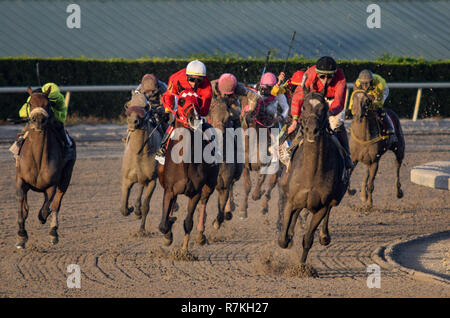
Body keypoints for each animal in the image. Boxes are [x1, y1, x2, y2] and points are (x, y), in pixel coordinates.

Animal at [14, 86, 76, 248]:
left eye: (48, 104)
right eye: (30, 103)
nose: (38, 120)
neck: (37, 157)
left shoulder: (52, 184)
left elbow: (48, 206)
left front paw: (44, 218)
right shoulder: (21, 179)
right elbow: (20, 201)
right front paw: (21, 235)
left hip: (66, 177)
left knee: (56, 203)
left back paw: (53, 232)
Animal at [119, 92, 162, 234]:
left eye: (145, 106)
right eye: (129, 105)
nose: (133, 122)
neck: (139, 153)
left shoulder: (152, 180)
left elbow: (146, 206)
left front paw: (142, 230)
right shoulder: (127, 179)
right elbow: (123, 209)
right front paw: (131, 208)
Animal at [158, 90, 220, 251]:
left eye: (198, 100)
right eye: (181, 100)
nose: (195, 118)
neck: (184, 161)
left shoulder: (195, 192)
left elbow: (188, 223)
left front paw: (184, 251)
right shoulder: (169, 190)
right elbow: (163, 225)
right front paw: (168, 233)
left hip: (210, 185)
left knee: (204, 202)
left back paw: (200, 234)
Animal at [278, 88, 348, 264]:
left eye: (323, 108)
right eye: (303, 107)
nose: (311, 131)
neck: (311, 171)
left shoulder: (322, 207)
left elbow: (308, 239)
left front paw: (301, 266)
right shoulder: (291, 200)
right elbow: (283, 240)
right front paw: (288, 236)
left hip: (335, 197)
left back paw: (324, 236)